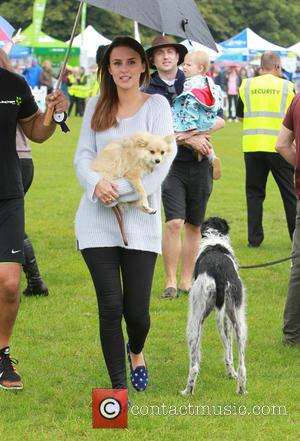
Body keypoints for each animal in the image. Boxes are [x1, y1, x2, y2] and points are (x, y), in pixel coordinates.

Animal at [182, 217, 247, 396]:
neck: (214, 240)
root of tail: (219, 274)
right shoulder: (227, 317)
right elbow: (229, 350)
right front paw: (230, 373)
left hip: (195, 320)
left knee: (194, 364)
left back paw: (188, 390)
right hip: (238, 320)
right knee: (242, 365)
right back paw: (240, 387)